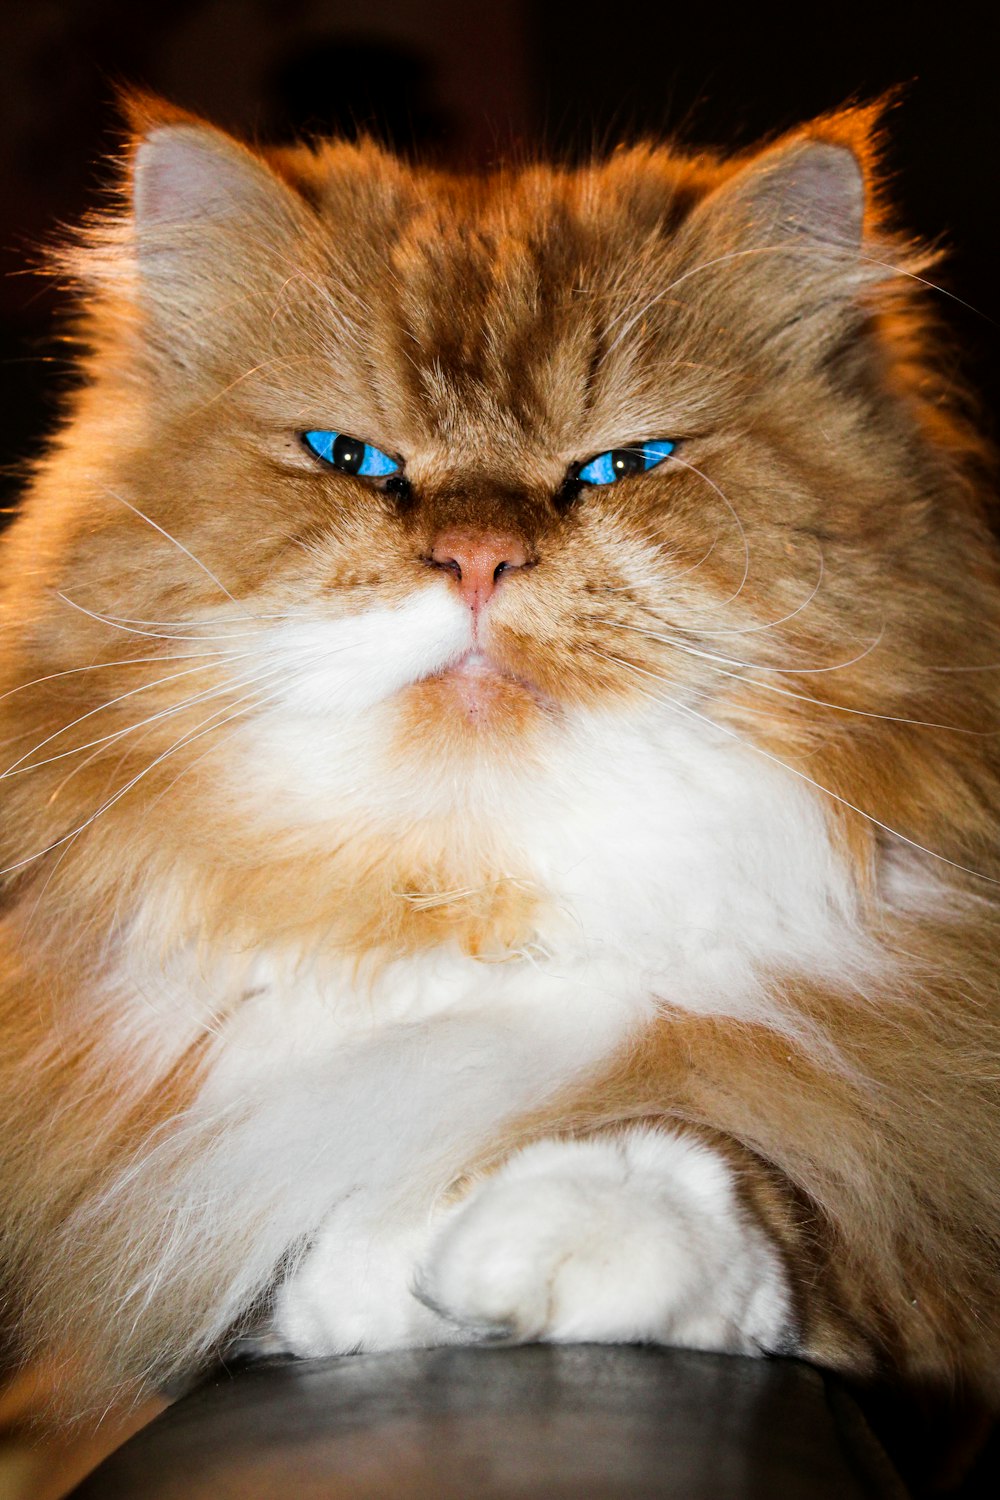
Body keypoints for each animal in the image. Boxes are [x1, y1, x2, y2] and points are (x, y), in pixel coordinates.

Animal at [0, 87, 995, 1434]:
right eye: (351, 458)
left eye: (623, 465)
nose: (477, 559)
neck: (470, 901)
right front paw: (379, 1271)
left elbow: (741, 1188)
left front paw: (551, 1238)